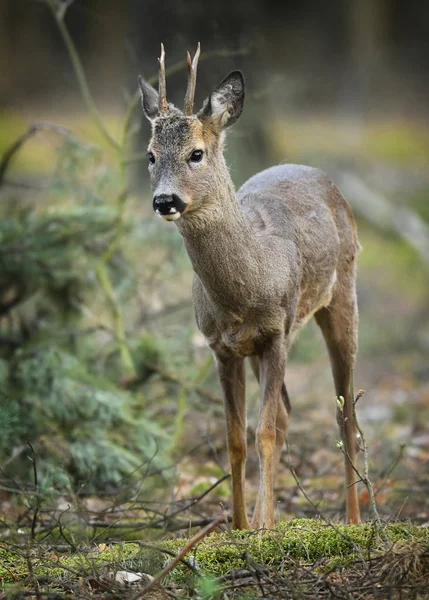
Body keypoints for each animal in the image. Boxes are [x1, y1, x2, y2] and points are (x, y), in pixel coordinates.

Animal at [139, 44, 360, 528]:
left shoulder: (277, 333)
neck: (250, 284)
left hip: (342, 296)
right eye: (149, 154)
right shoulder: (222, 347)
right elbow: (237, 438)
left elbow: (266, 432)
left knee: (344, 414)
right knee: (290, 411)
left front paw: (265, 530)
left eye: (196, 153)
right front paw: (241, 526)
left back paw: (355, 520)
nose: (165, 201)